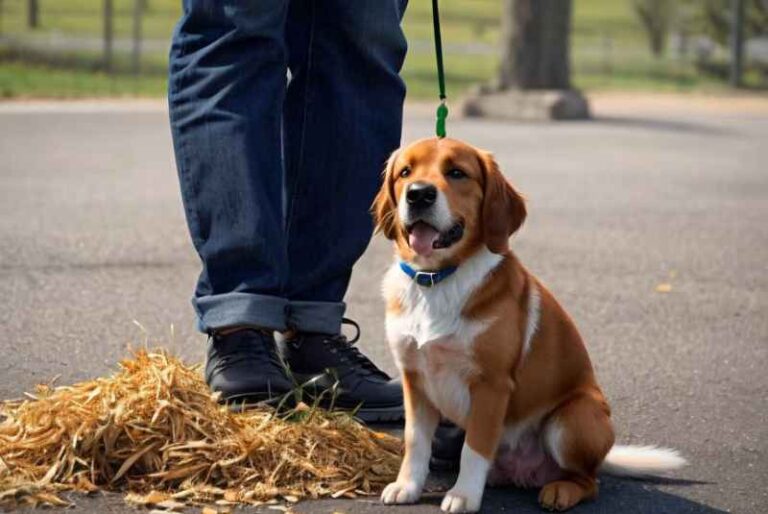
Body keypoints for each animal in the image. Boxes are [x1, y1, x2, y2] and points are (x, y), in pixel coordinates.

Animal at [372, 138, 684, 510]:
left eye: (457, 172)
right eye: (405, 172)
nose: (419, 194)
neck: (437, 279)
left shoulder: (491, 385)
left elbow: (475, 448)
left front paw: (463, 495)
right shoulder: (415, 380)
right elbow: (415, 442)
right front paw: (408, 486)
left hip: (573, 418)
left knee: (588, 481)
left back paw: (560, 491)